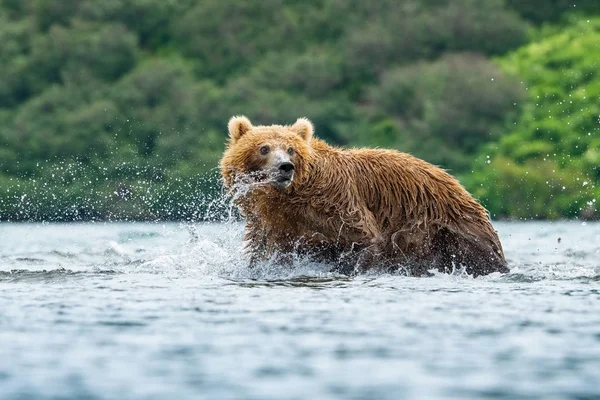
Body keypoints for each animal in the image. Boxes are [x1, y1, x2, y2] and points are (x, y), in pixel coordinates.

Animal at [218, 115, 508, 276]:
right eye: (264, 148)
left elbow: (365, 238)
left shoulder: (335, 202)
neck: (288, 198)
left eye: (291, 149)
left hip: (450, 228)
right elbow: (264, 252)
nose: (285, 167)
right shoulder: (272, 223)